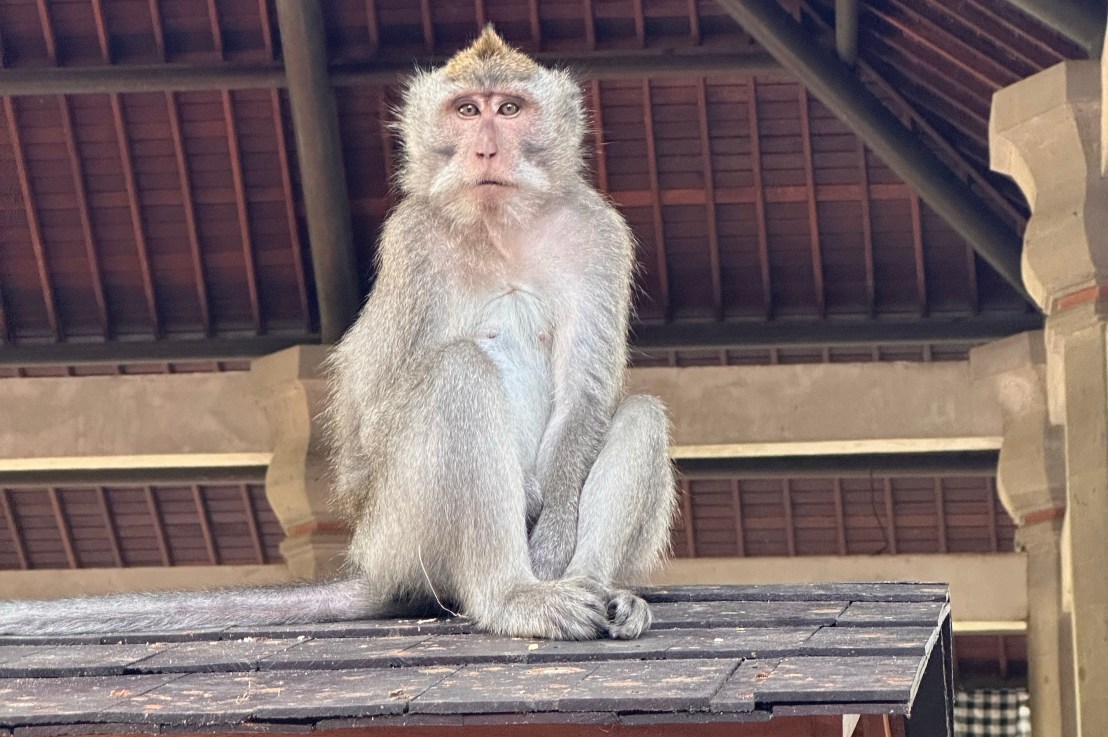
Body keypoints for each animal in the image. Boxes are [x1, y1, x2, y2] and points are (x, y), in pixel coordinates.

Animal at [0, 27, 677, 642]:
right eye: (467, 111)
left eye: (508, 109)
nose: (486, 150)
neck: (500, 226)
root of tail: (373, 570)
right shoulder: (411, 243)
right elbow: (370, 426)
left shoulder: (600, 235)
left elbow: (585, 394)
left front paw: (556, 526)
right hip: (399, 536)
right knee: (458, 372)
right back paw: (511, 596)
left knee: (639, 413)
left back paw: (596, 587)